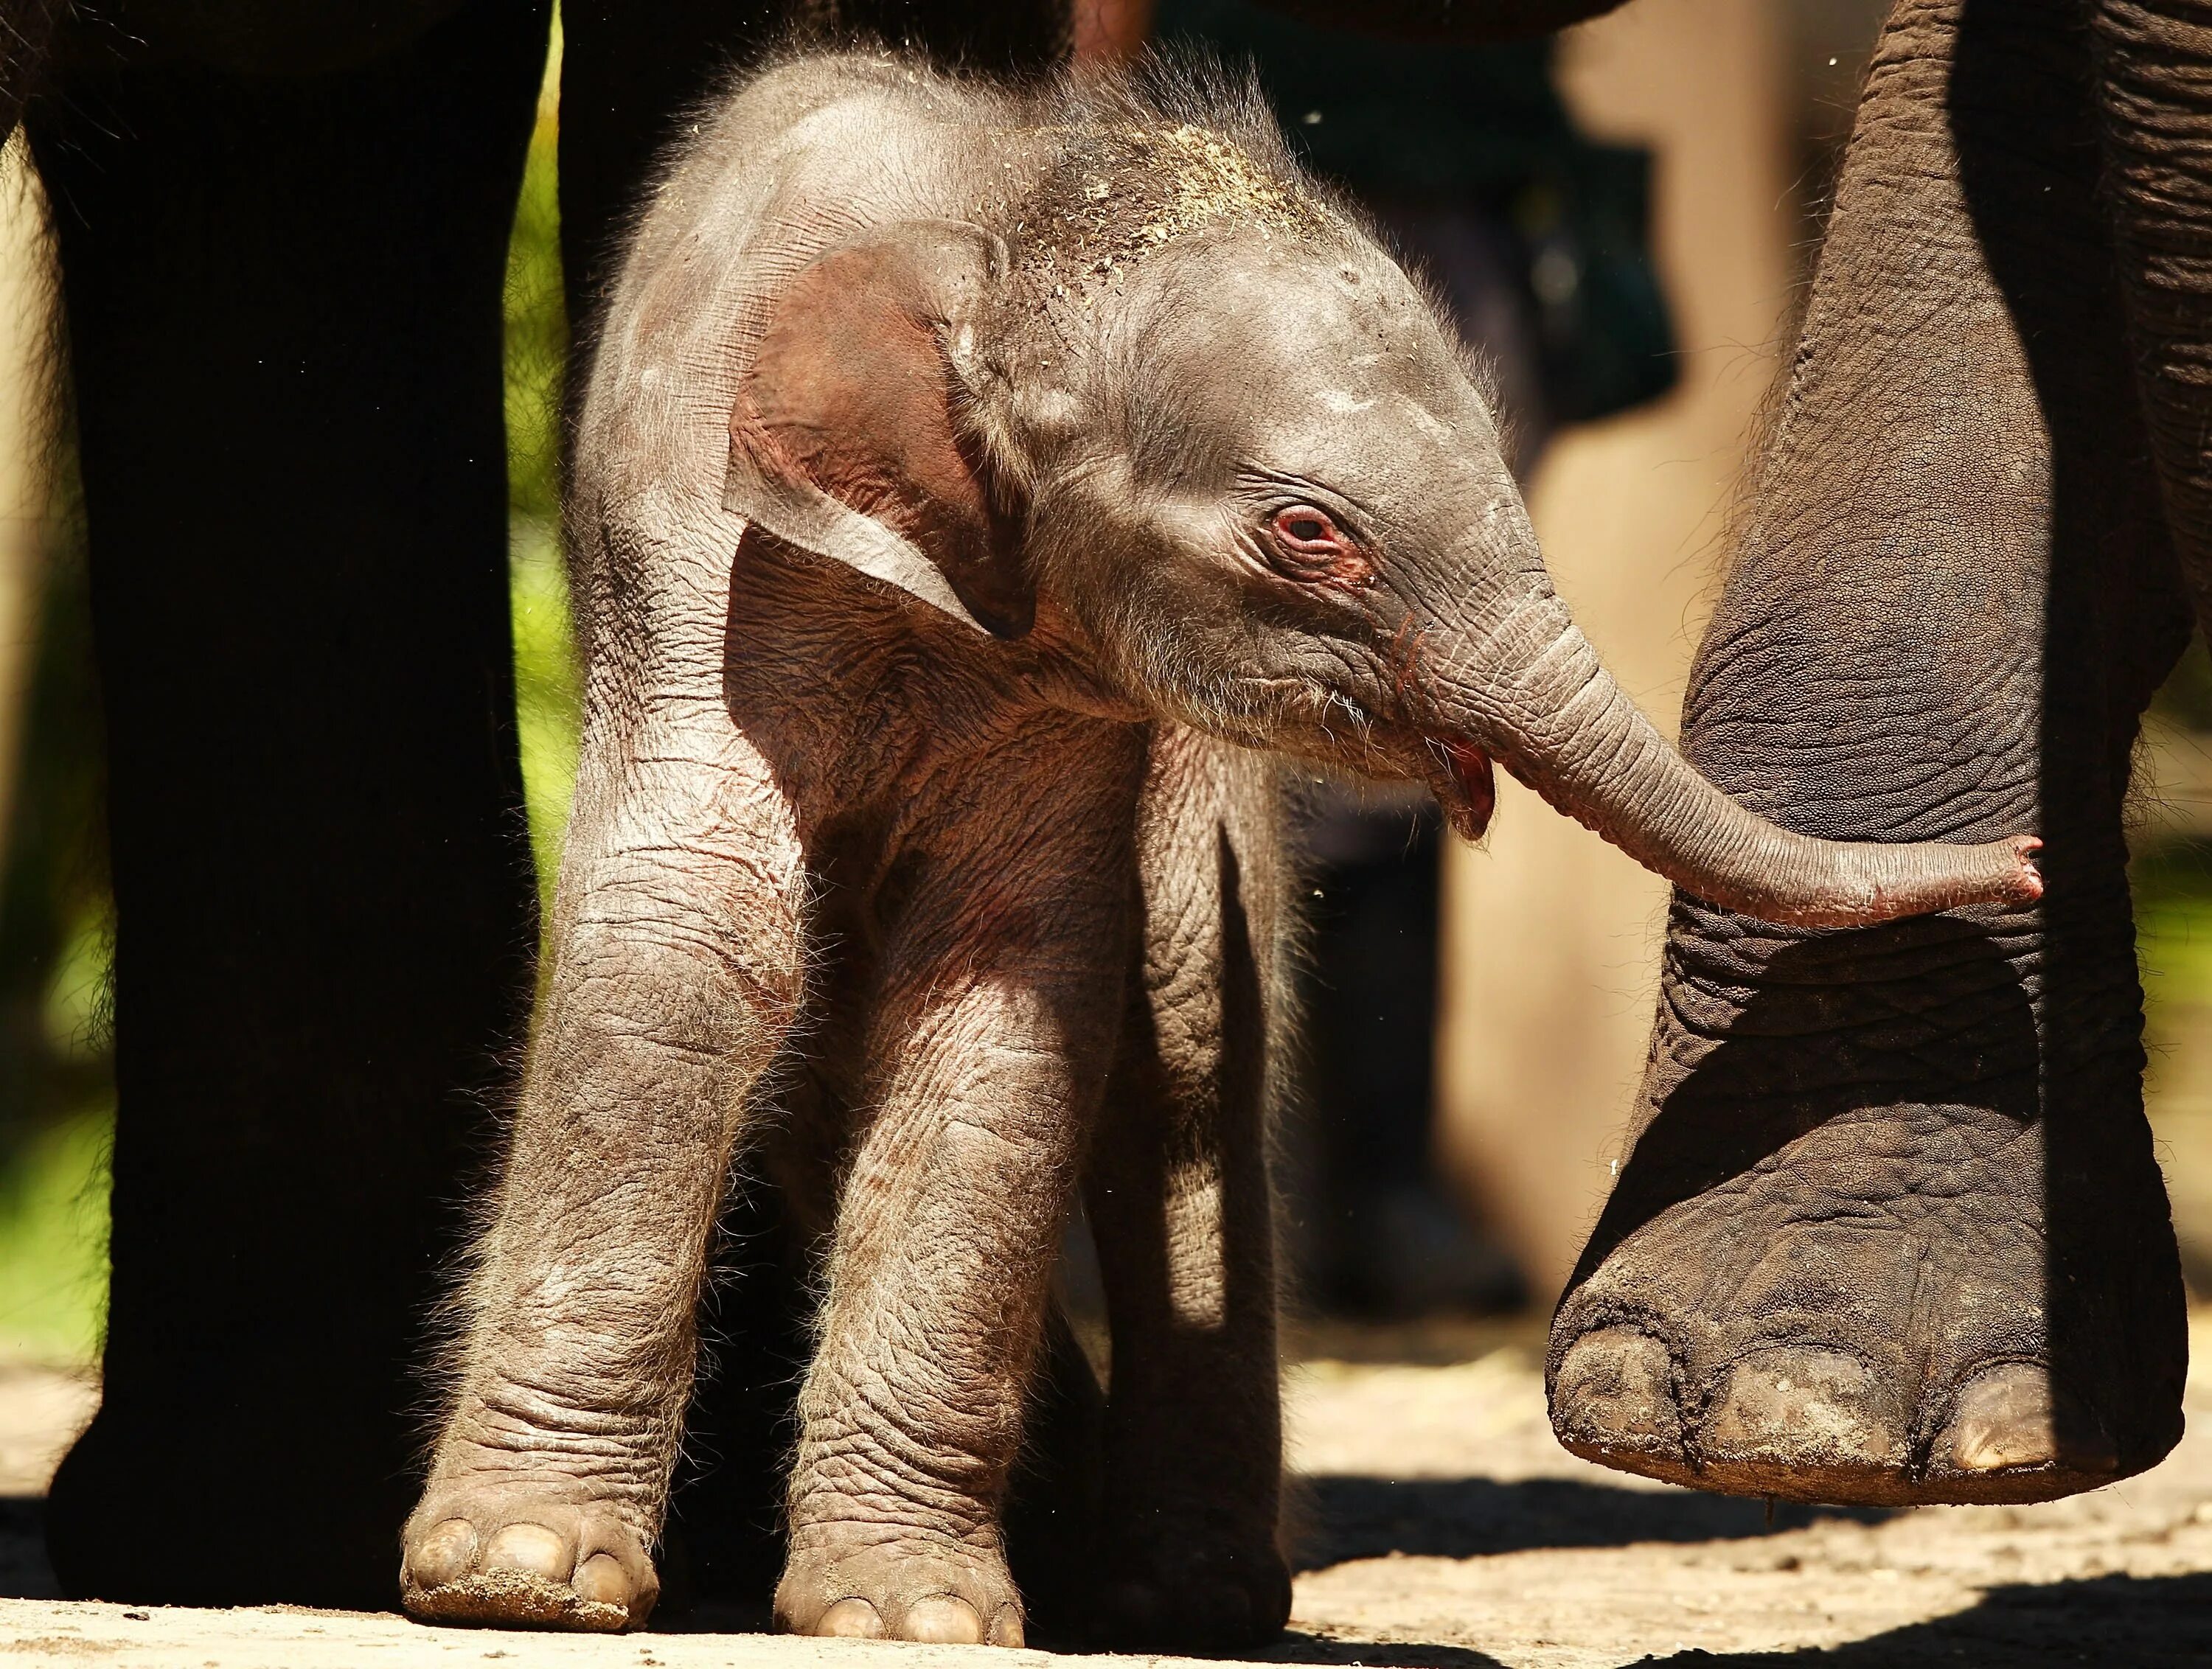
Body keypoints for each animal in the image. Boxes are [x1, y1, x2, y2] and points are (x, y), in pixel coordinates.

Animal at [398, 45, 2035, 1654]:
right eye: (1310, 534)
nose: (2025, 860)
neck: (1005, 220)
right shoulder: (694, 550)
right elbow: (697, 940)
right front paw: (517, 1576)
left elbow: (1004, 1005)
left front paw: (909, 1612)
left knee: (1185, 1058)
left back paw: (1181, 1594)